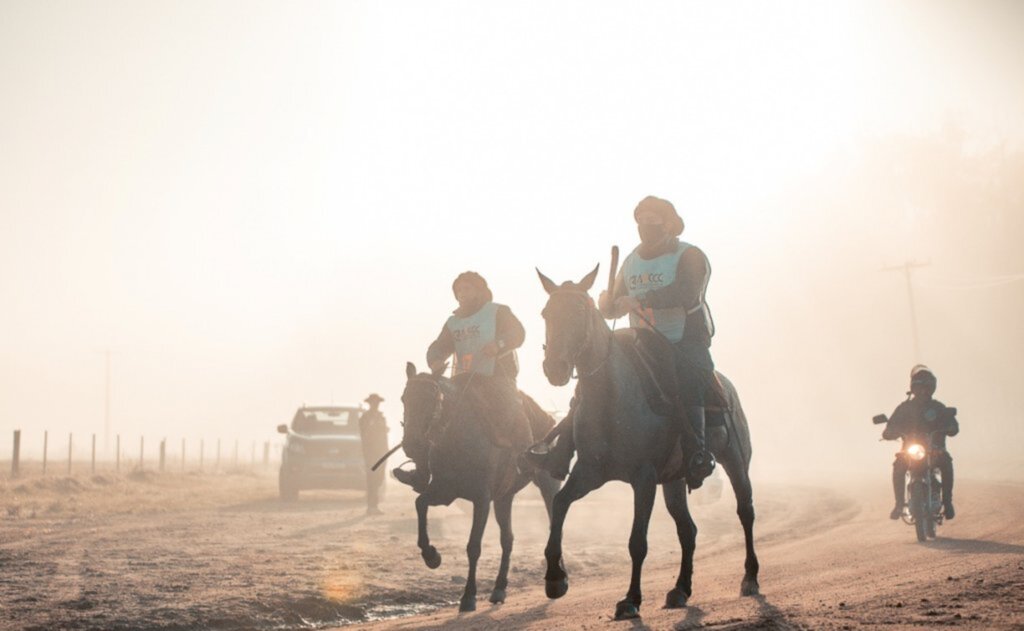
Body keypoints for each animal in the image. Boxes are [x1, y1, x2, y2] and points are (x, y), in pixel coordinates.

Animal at [536, 268, 761, 622]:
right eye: (547, 313)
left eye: (581, 311)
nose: (555, 368)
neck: (611, 395)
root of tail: (725, 386)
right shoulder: (589, 473)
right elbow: (559, 504)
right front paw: (555, 579)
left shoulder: (643, 478)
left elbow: (637, 542)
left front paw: (630, 599)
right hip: (674, 480)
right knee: (688, 529)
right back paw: (680, 589)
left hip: (735, 461)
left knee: (745, 512)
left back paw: (750, 578)